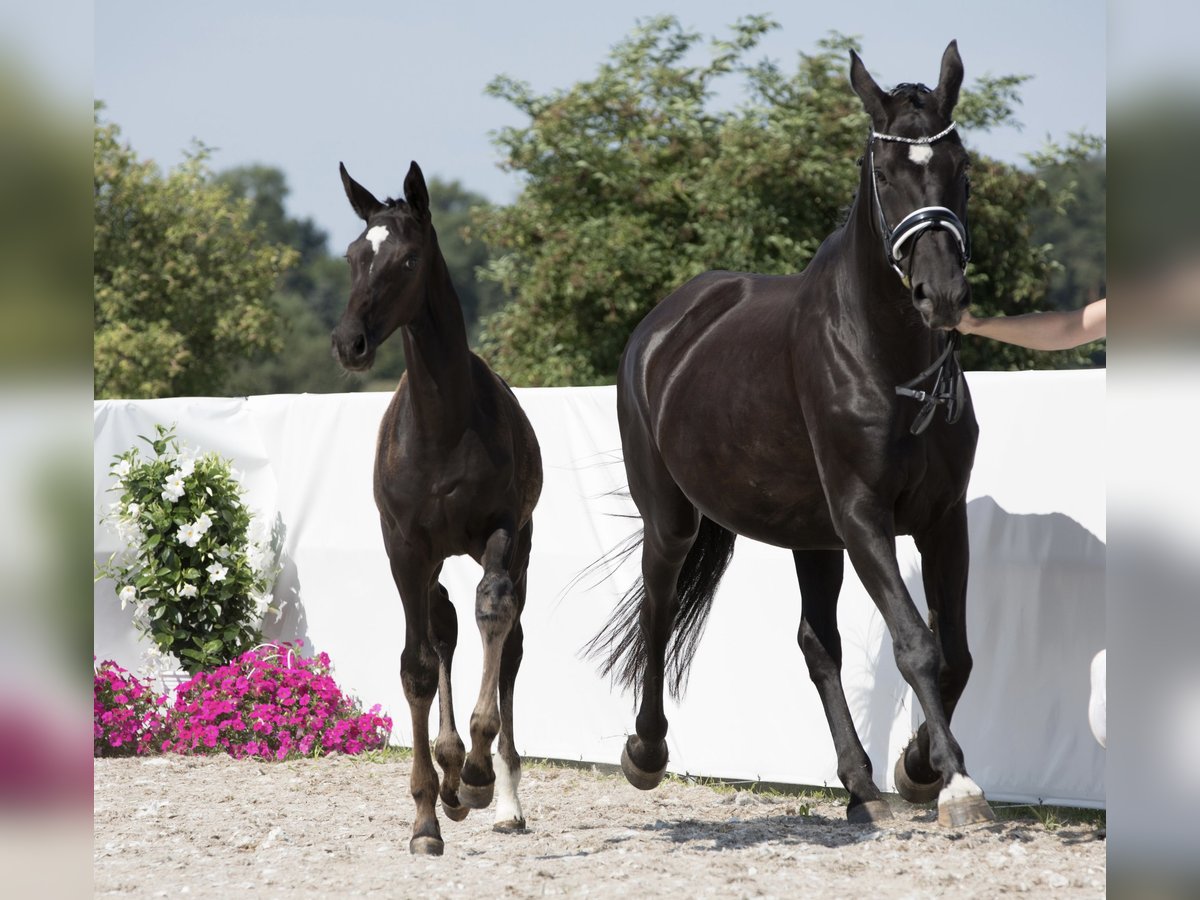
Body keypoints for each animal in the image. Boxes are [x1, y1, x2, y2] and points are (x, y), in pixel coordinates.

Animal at [333, 164, 549, 859]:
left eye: (407, 259)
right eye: (353, 255)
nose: (350, 342)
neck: (442, 428)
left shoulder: (502, 531)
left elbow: (494, 616)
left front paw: (478, 774)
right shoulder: (404, 547)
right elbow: (418, 666)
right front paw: (427, 816)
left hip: (520, 541)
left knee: (506, 640)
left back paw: (498, 795)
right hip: (430, 562)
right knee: (444, 625)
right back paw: (451, 777)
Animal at [590, 42, 993, 830]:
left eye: (960, 165)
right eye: (883, 171)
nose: (942, 295)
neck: (888, 361)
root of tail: (666, 323)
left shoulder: (941, 519)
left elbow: (954, 652)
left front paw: (919, 769)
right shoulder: (863, 516)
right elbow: (917, 644)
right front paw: (956, 782)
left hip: (813, 537)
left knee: (817, 643)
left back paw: (862, 786)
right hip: (672, 518)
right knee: (657, 611)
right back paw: (646, 752)